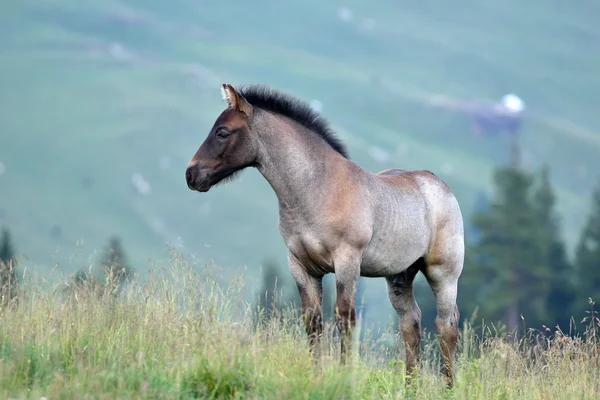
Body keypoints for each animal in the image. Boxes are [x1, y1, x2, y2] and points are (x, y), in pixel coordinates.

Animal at [185, 84, 466, 388]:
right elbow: (313, 321)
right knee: (411, 323)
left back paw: (449, 387)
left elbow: (345, 318)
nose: (191, 174)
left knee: (446, 325)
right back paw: (409, 387)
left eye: (222, 132)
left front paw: (344, 377)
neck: (317, 188)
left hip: (443, 273)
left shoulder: (347, 261)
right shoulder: (301, 266)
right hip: (399, 276)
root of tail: (439, 184)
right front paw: (316, 375)